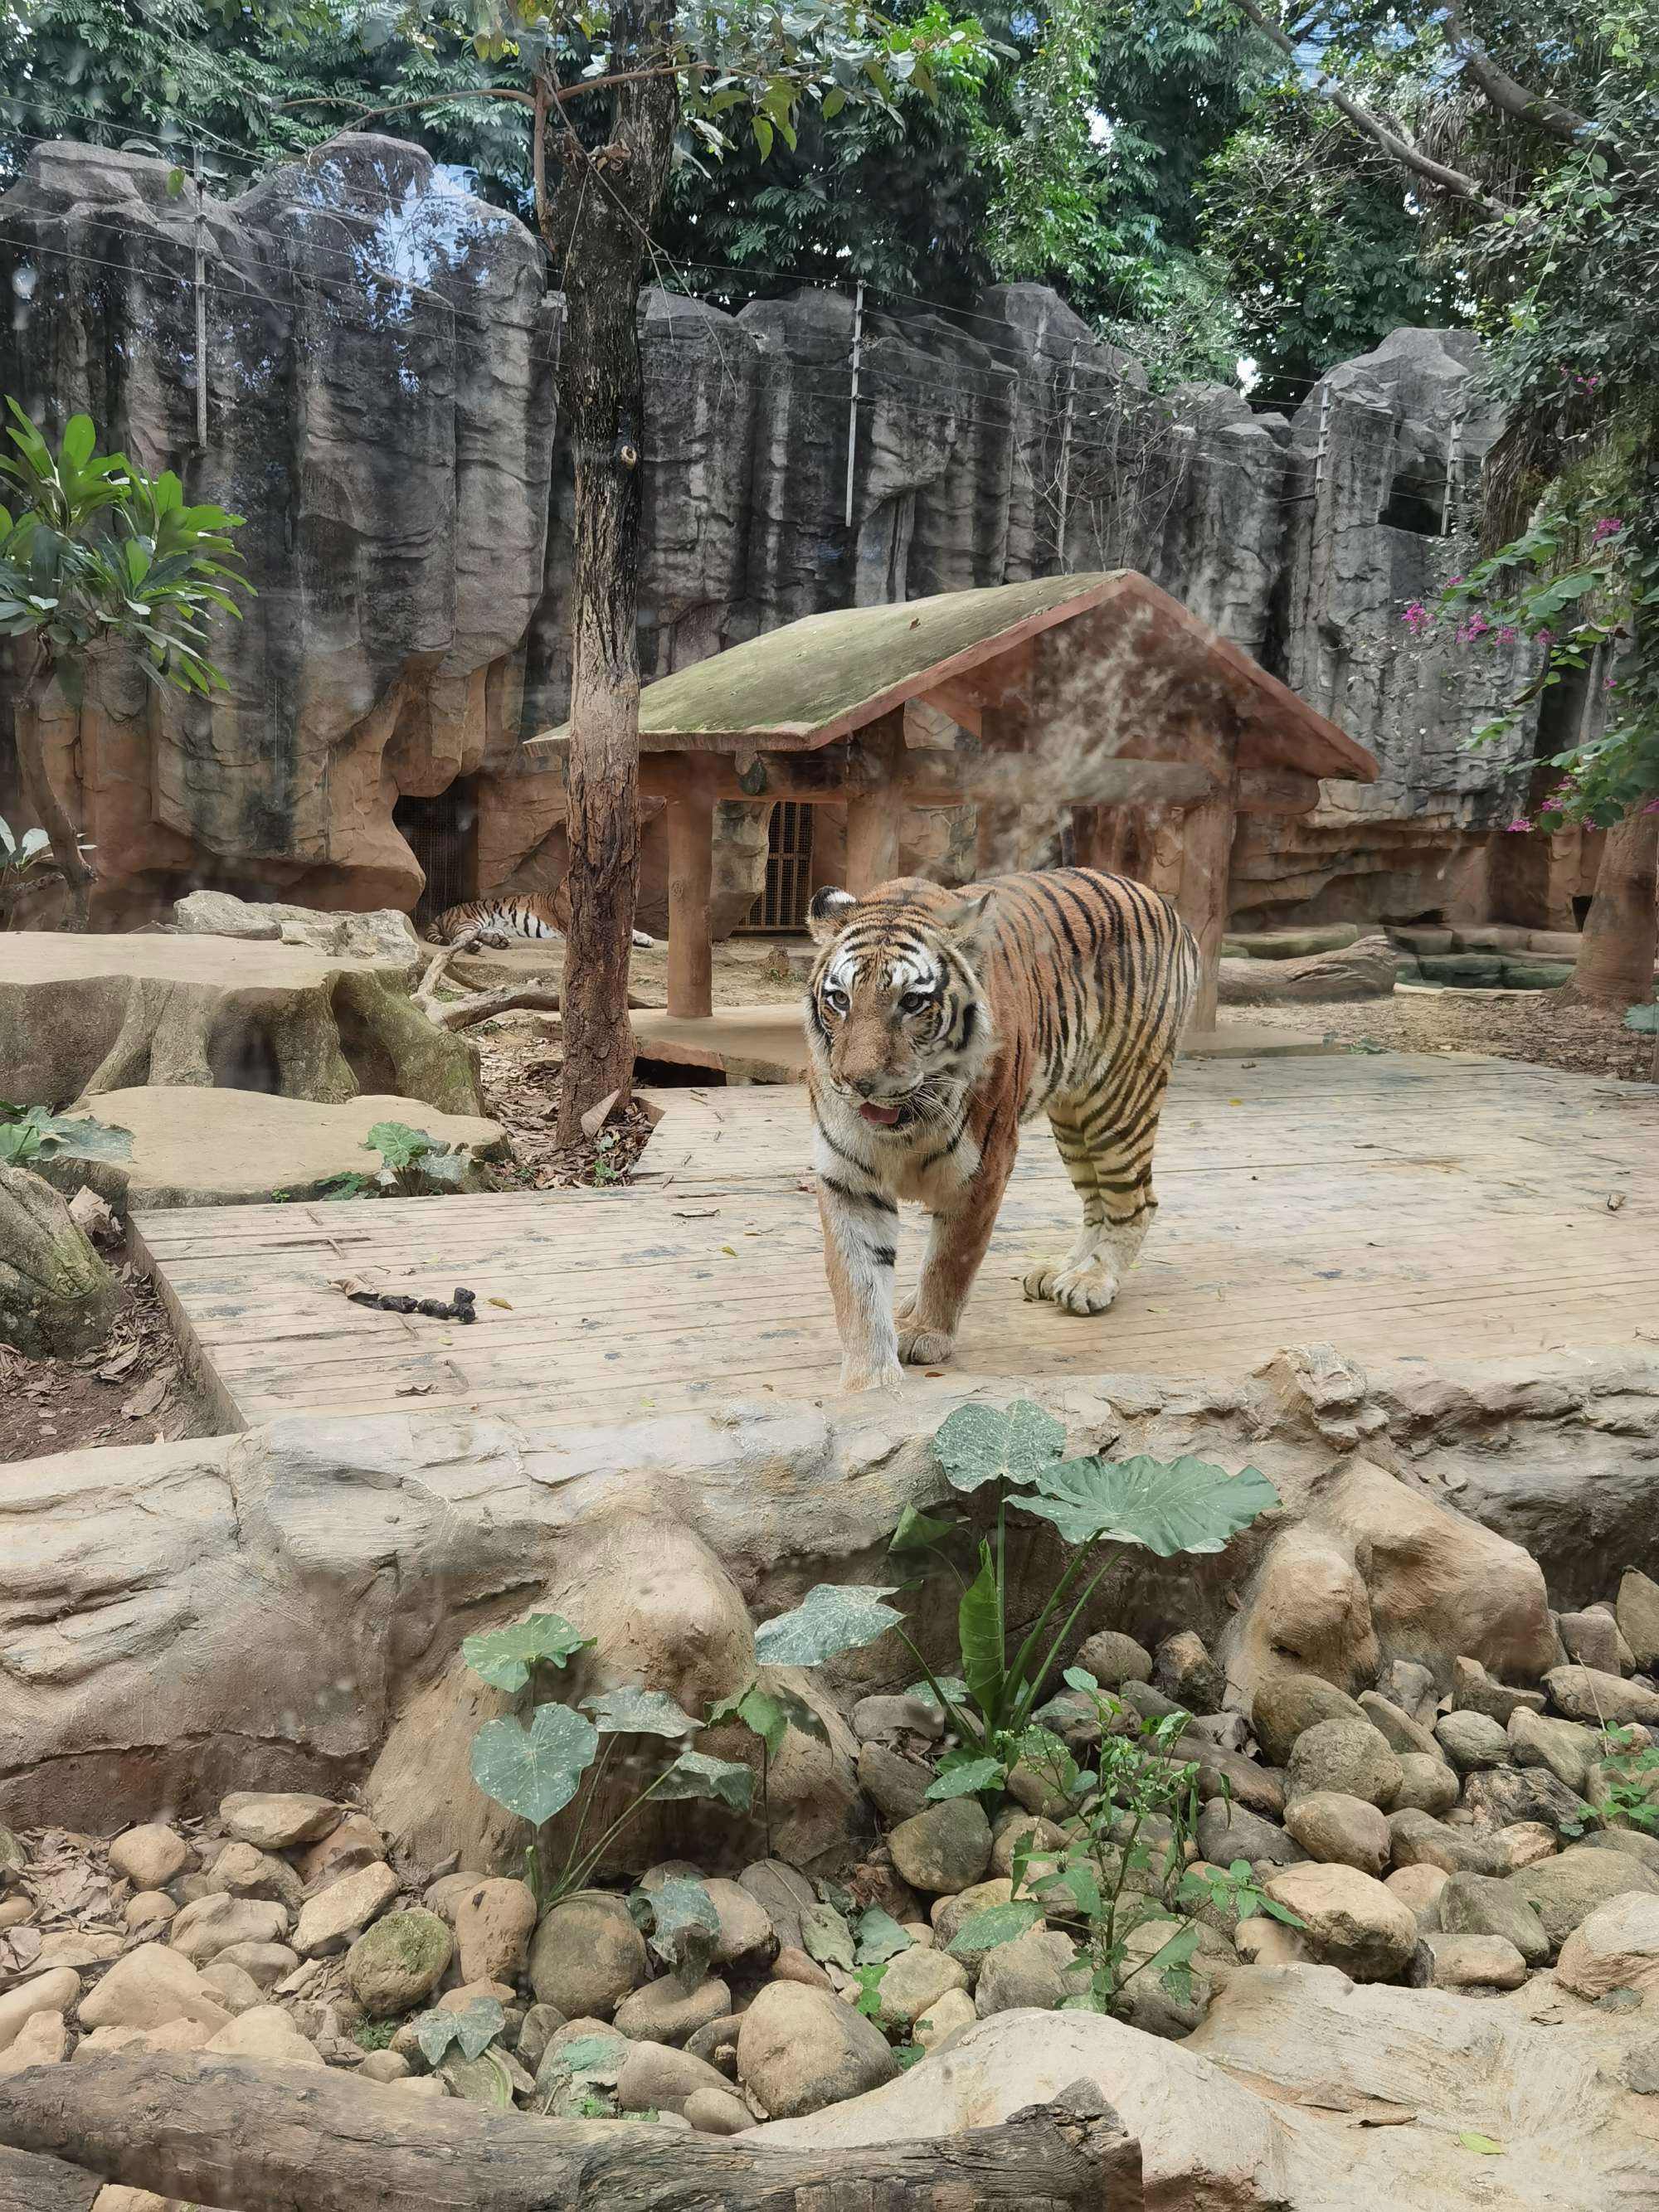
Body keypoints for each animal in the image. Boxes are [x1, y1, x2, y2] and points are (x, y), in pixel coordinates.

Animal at [429, 884, 654, 946]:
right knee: (458, 940)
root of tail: (443, 912)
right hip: (469, 921)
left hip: (483, 925)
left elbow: (631, 929)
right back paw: (476, 946)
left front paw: (646, 938)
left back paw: (499, 940)